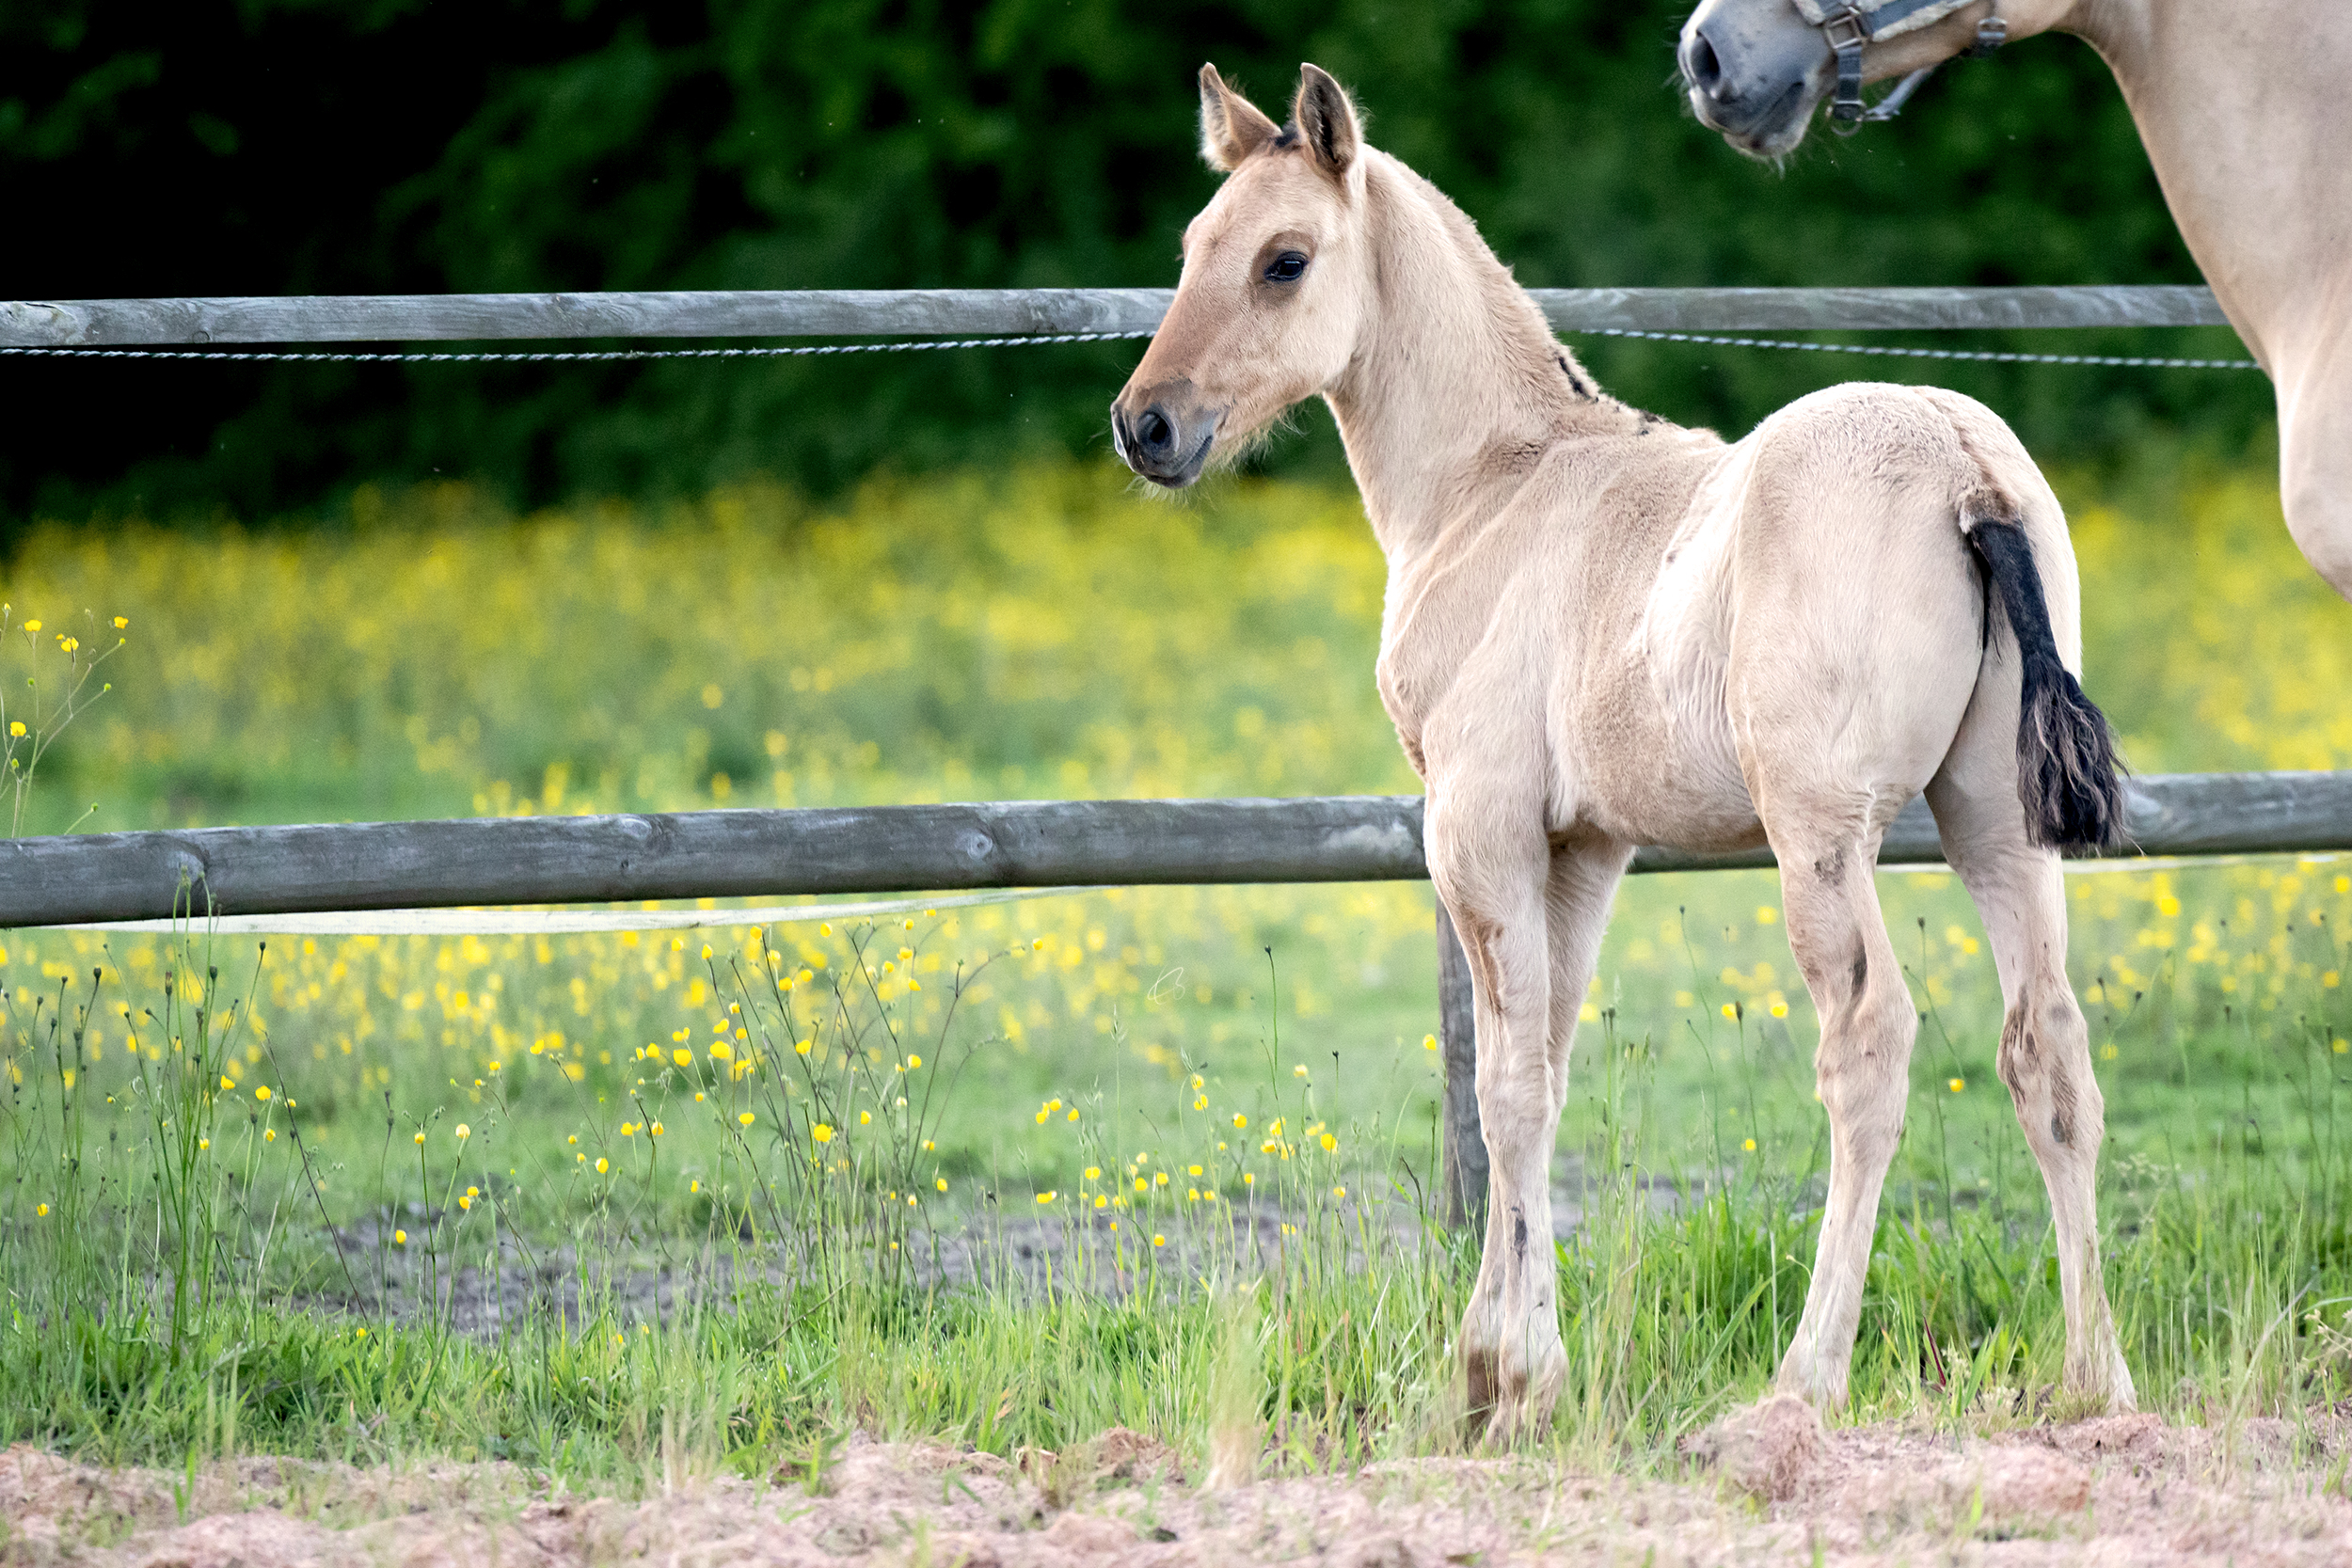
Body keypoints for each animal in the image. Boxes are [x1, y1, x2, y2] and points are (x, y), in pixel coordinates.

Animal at [1110, 61, 2145, 1438]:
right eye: (1192, 249)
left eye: (1285, 260)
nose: (1147, 425)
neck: (1497, 484)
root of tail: (1964, 468)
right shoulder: (1585, 848)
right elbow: (1543, 1068)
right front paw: (1483, 1370)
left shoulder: (1479, 827)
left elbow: (1503, 1089)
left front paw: (1513, 1379)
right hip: (1996, 825)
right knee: (2050, 1052)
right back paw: (2099, 1382)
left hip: (1820, 838)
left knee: (1870, 1044)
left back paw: (1803, 1378)